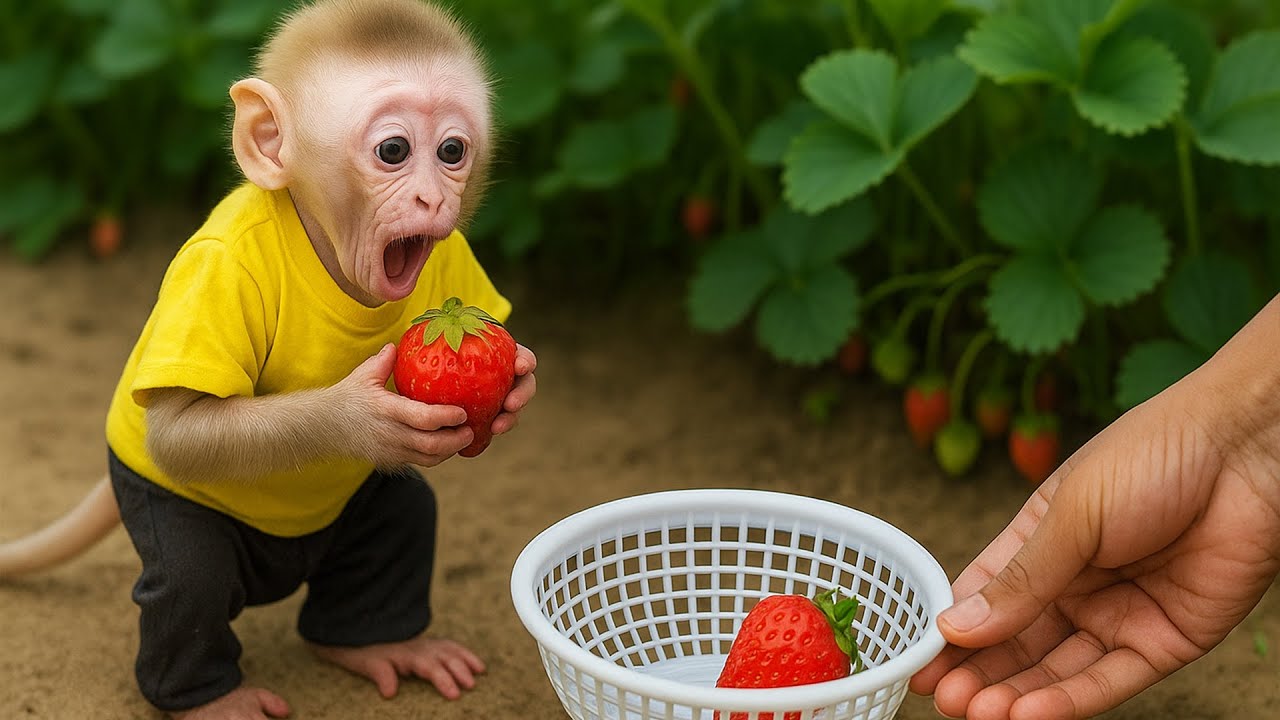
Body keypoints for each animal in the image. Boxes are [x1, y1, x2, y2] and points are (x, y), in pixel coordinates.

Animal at [0, 1, 538, 718]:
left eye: (452, 150)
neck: (328, 255)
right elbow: (183, 426)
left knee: (402, 524)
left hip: (367, 521)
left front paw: (515, 391)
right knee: (188, 584)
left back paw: (383, 646)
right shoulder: (217, 278)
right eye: (393, 150)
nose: (432, 198)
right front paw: (357, 417)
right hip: (165, 517)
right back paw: (210, 699)